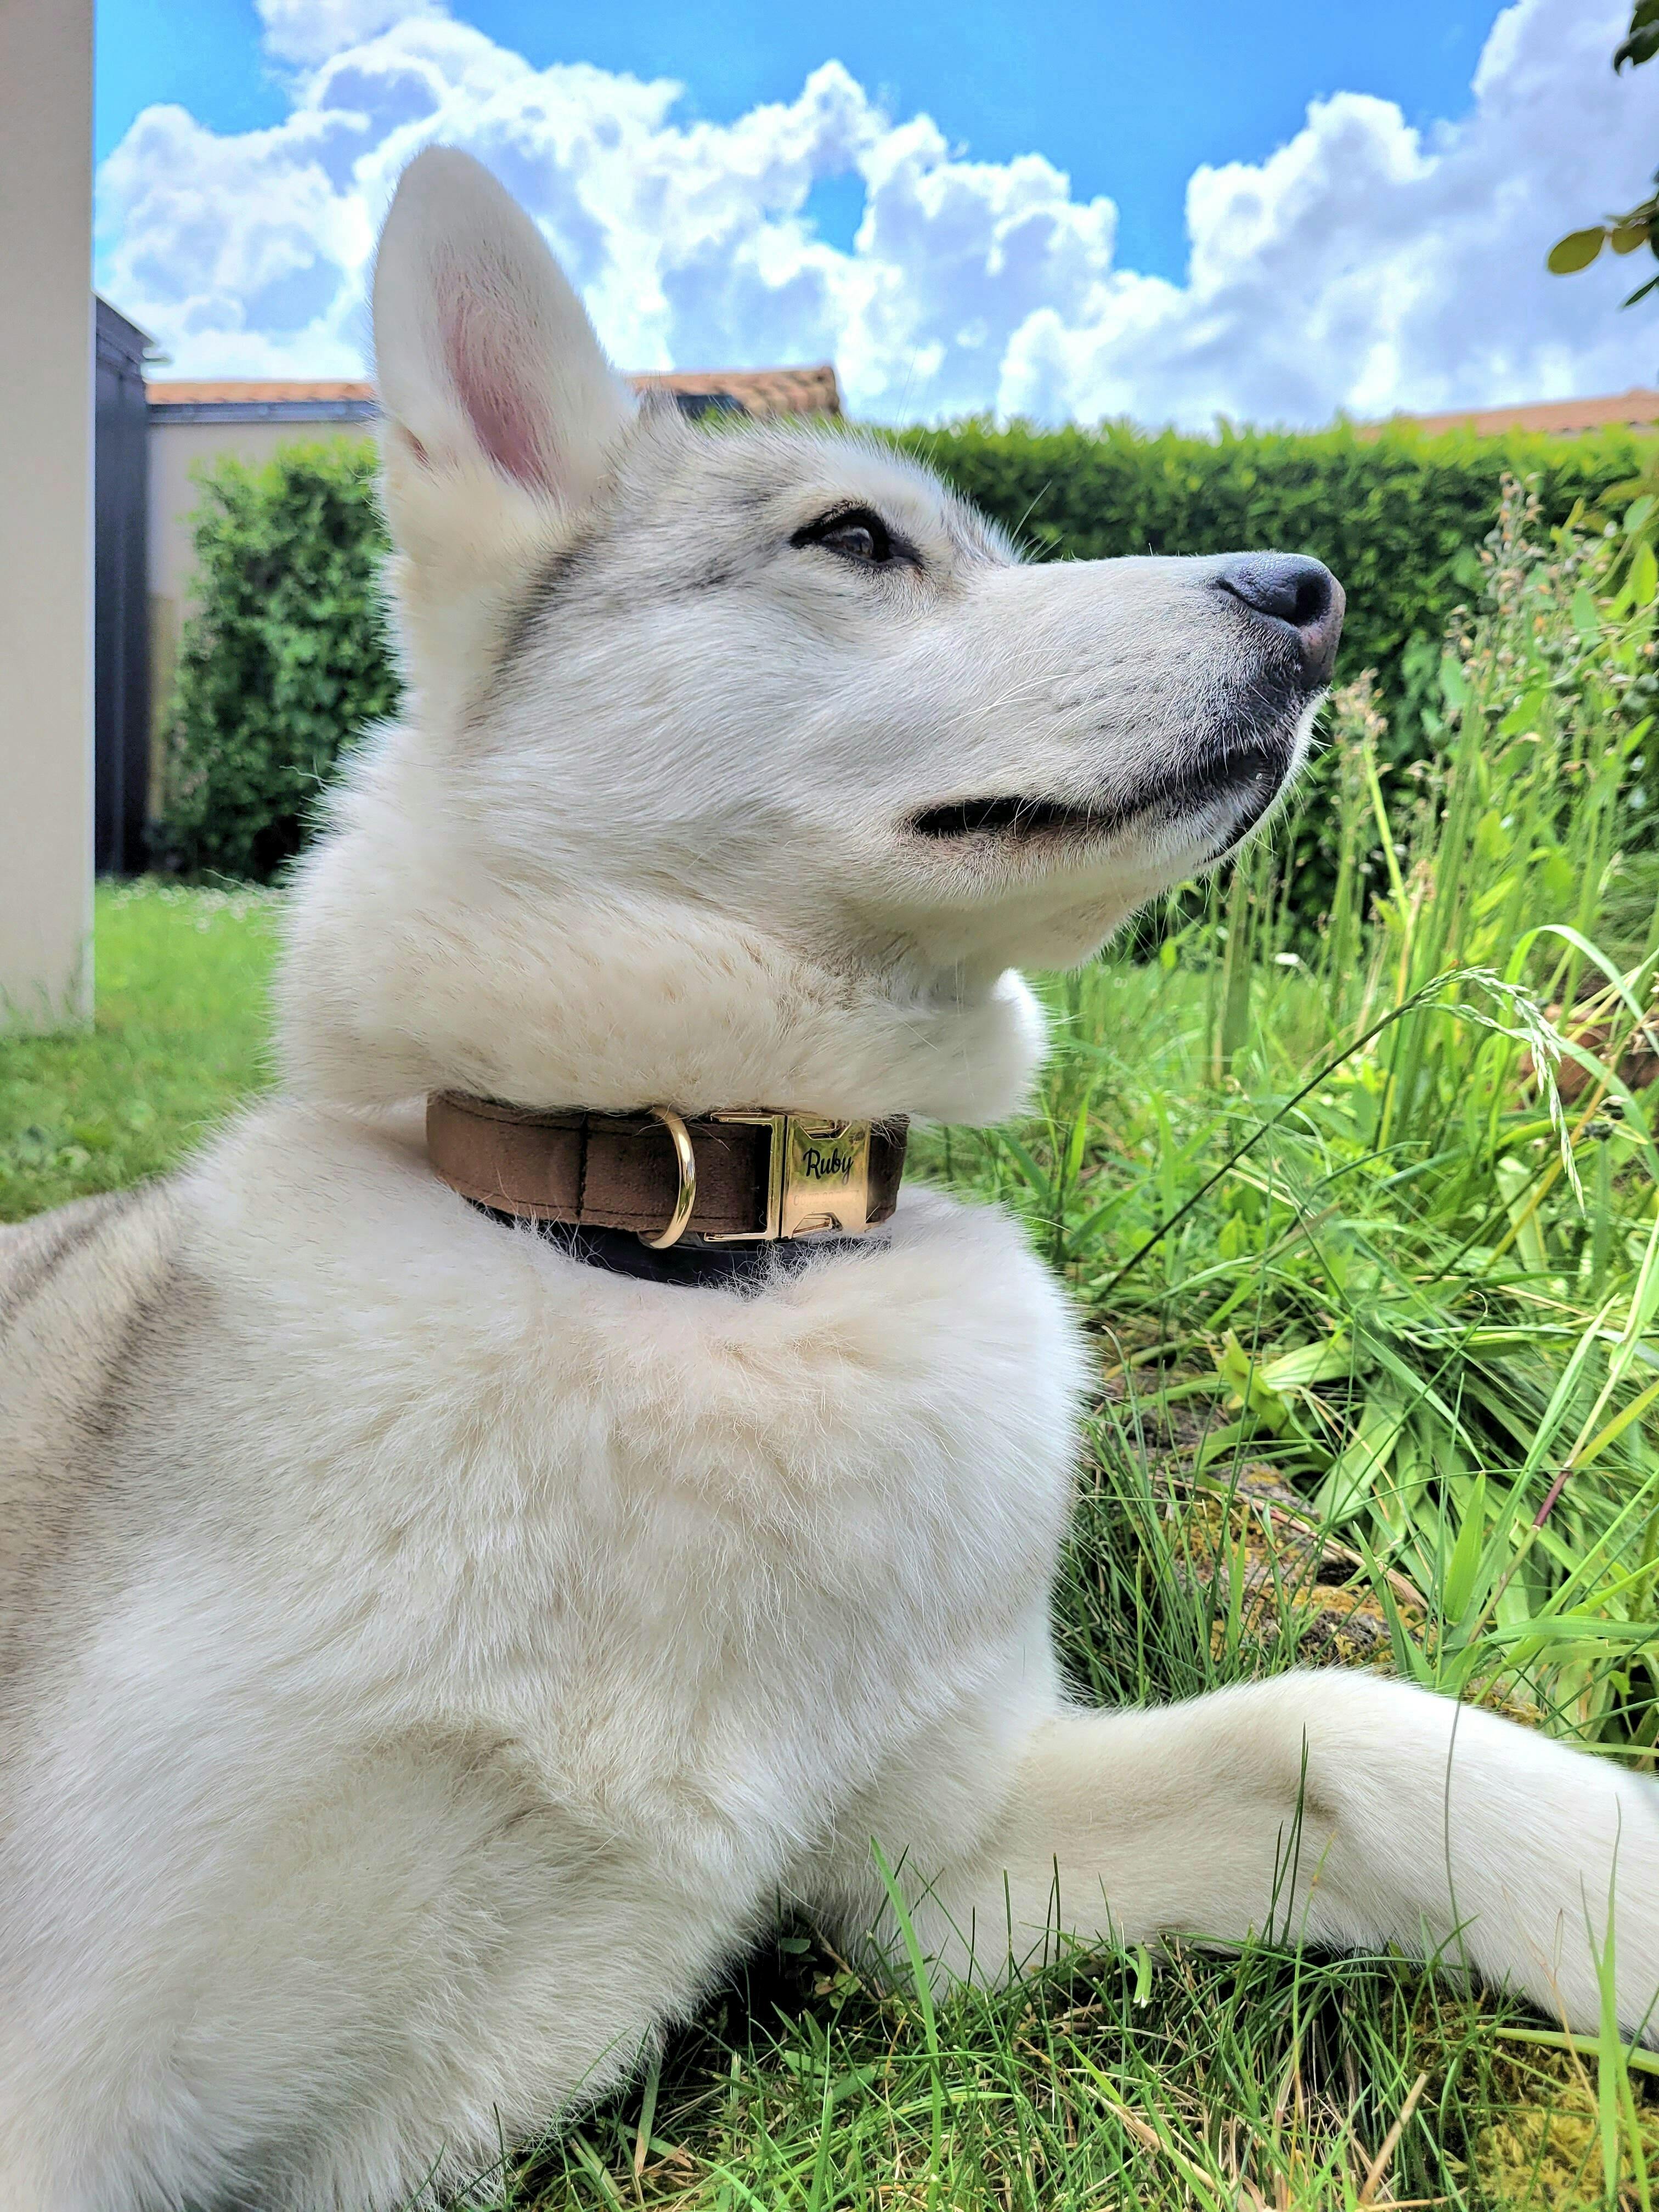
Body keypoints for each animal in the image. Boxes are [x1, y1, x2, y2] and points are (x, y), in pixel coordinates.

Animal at [2, 145, 1655, 2211]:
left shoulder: (946, 1874)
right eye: (856, 540)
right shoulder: (73, 2074)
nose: (1313, 598)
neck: (692, 1267)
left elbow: (1334, 1731)